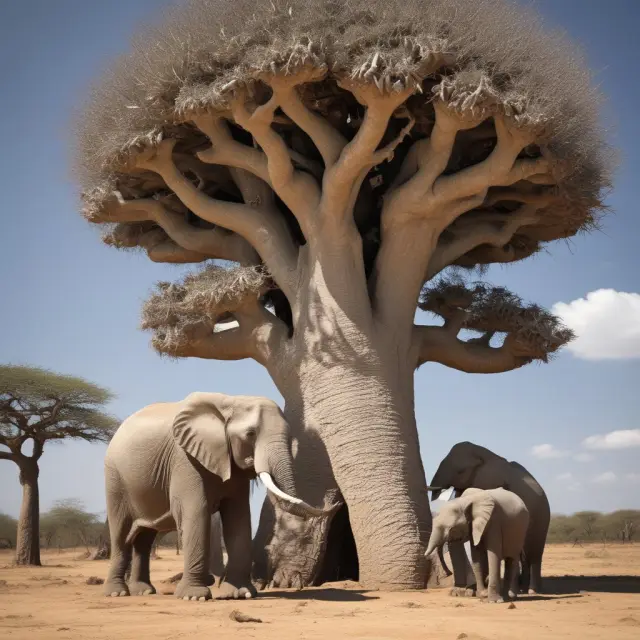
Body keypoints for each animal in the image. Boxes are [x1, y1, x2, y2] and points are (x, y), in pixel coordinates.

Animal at [103, 392, 337, 601]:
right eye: (250, 434)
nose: (332, 503)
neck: (231, 401)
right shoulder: (184, 458)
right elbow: (196, 512)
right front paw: (194, 596)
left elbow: (238, 517)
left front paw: (241, 594)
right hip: (115, 479)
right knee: (121, 532)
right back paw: (117, 593)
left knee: (144, 538)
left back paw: (143, 591)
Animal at [430, 441, 550, 594]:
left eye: (460, 471)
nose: (447, 573)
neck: (485, 455)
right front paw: (461, 593)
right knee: (522, 554)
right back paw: (521, 589)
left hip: (542, 516)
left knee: (534, 553)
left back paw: (532, 590)